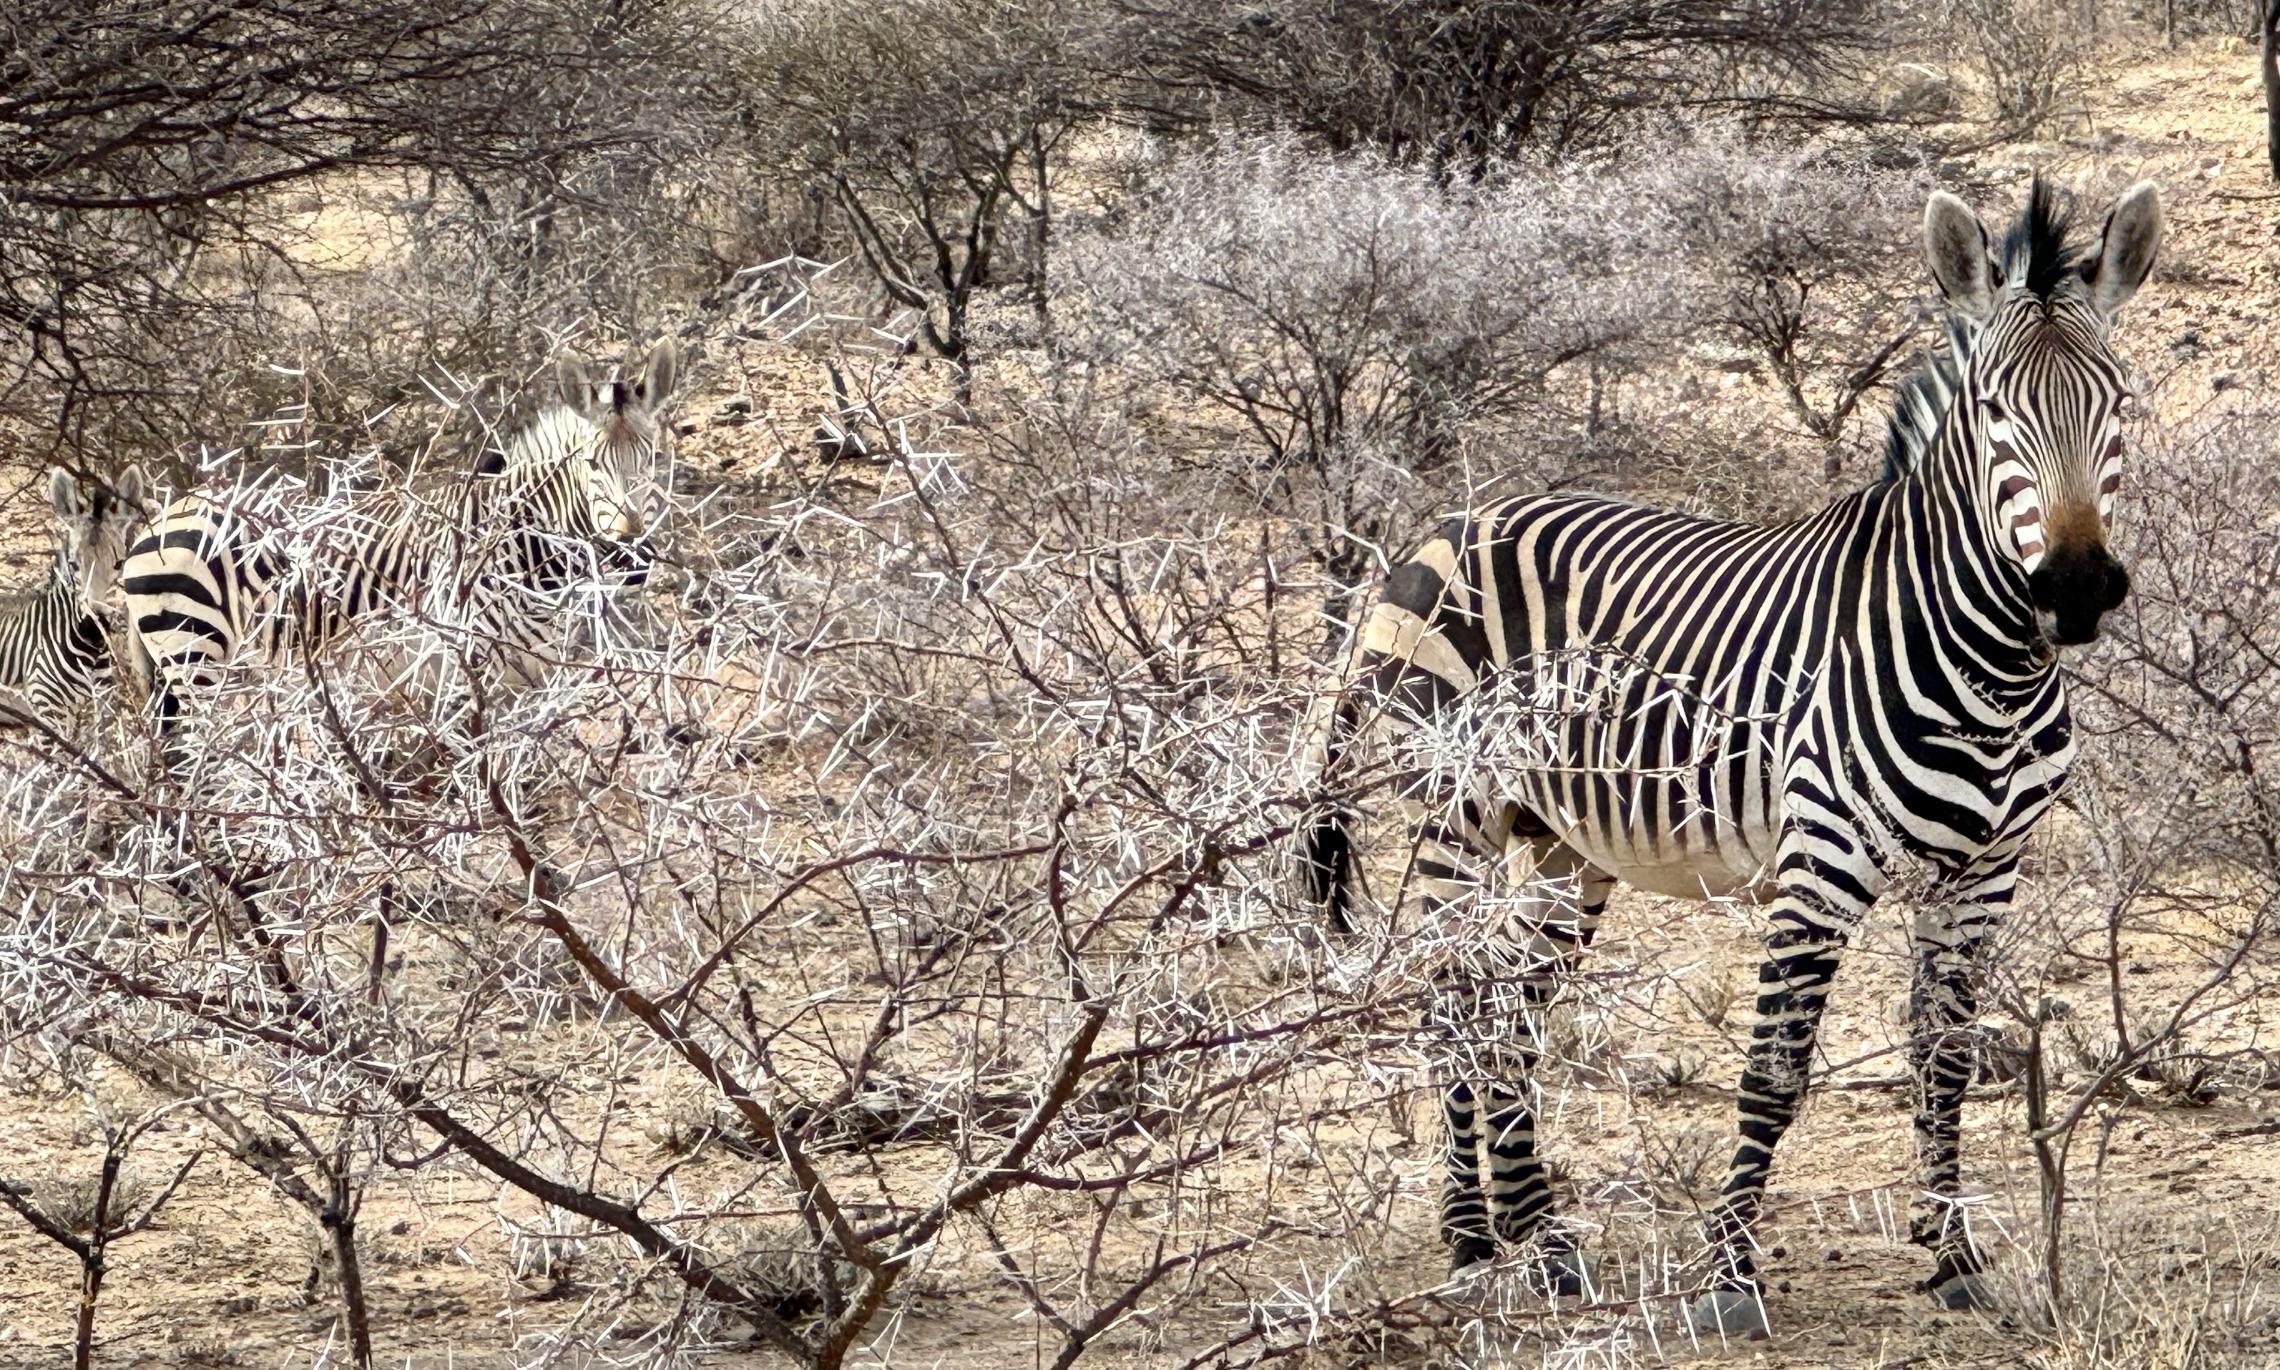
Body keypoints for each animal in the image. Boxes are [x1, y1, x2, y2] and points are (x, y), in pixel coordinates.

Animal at [0, 467, 147, 734]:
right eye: (73, 565)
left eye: (119, 564)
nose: (92, 627)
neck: (91, 651)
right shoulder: (47, 709)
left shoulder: (102, 703)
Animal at [124, 337, 674, 743]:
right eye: (592, 465)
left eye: (652, 459)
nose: (632, 558)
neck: (522, 539)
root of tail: (157, 519)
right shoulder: (466, 666)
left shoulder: (532, 673)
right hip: (195, 656)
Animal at [1313, 176, 2161, 1331]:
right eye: (1994, 412)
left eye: (2118, 401)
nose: (2075, 587)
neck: (1993, 668)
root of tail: (1439, 529)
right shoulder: (1822, 865)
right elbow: (1774, 1073)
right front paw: (1730, 1278)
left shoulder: (1986, 872)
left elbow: (1943, 1063)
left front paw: (1954, 1259)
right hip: (1456, 811)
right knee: (1455, 1006)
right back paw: (1474, 1245)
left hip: (1563, 844)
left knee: (1514, 1017)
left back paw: (1546, 1244)